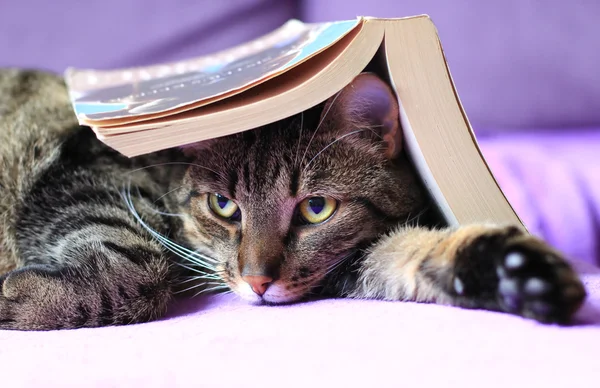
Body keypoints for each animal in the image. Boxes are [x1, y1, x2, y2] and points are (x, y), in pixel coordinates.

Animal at [0, 68, 584, 328]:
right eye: (223, 206)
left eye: (315, 209)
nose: (258, 282)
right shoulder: (92, 169)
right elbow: (139, 269)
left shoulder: (347, 261)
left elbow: (410, 254)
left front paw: (512, 272)